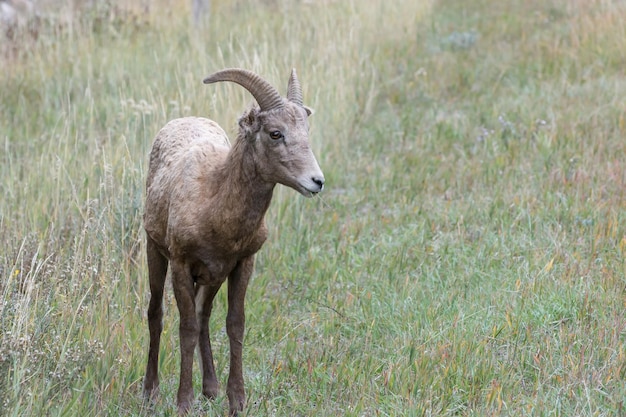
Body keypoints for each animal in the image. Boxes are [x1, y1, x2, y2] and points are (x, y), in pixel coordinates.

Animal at [141, 66, 324, 414]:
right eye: (275, 133)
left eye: (307, 129)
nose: (316, 181)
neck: (214, 201)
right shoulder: (181, 265)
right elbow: (185, 328)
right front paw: (183, 403)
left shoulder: (240, 264)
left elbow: (234, 325)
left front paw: (236, 401)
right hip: (155, 253)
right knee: (156, 314)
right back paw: (150, 392)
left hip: (212, 277)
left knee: (204, 316)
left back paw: (210, 389)